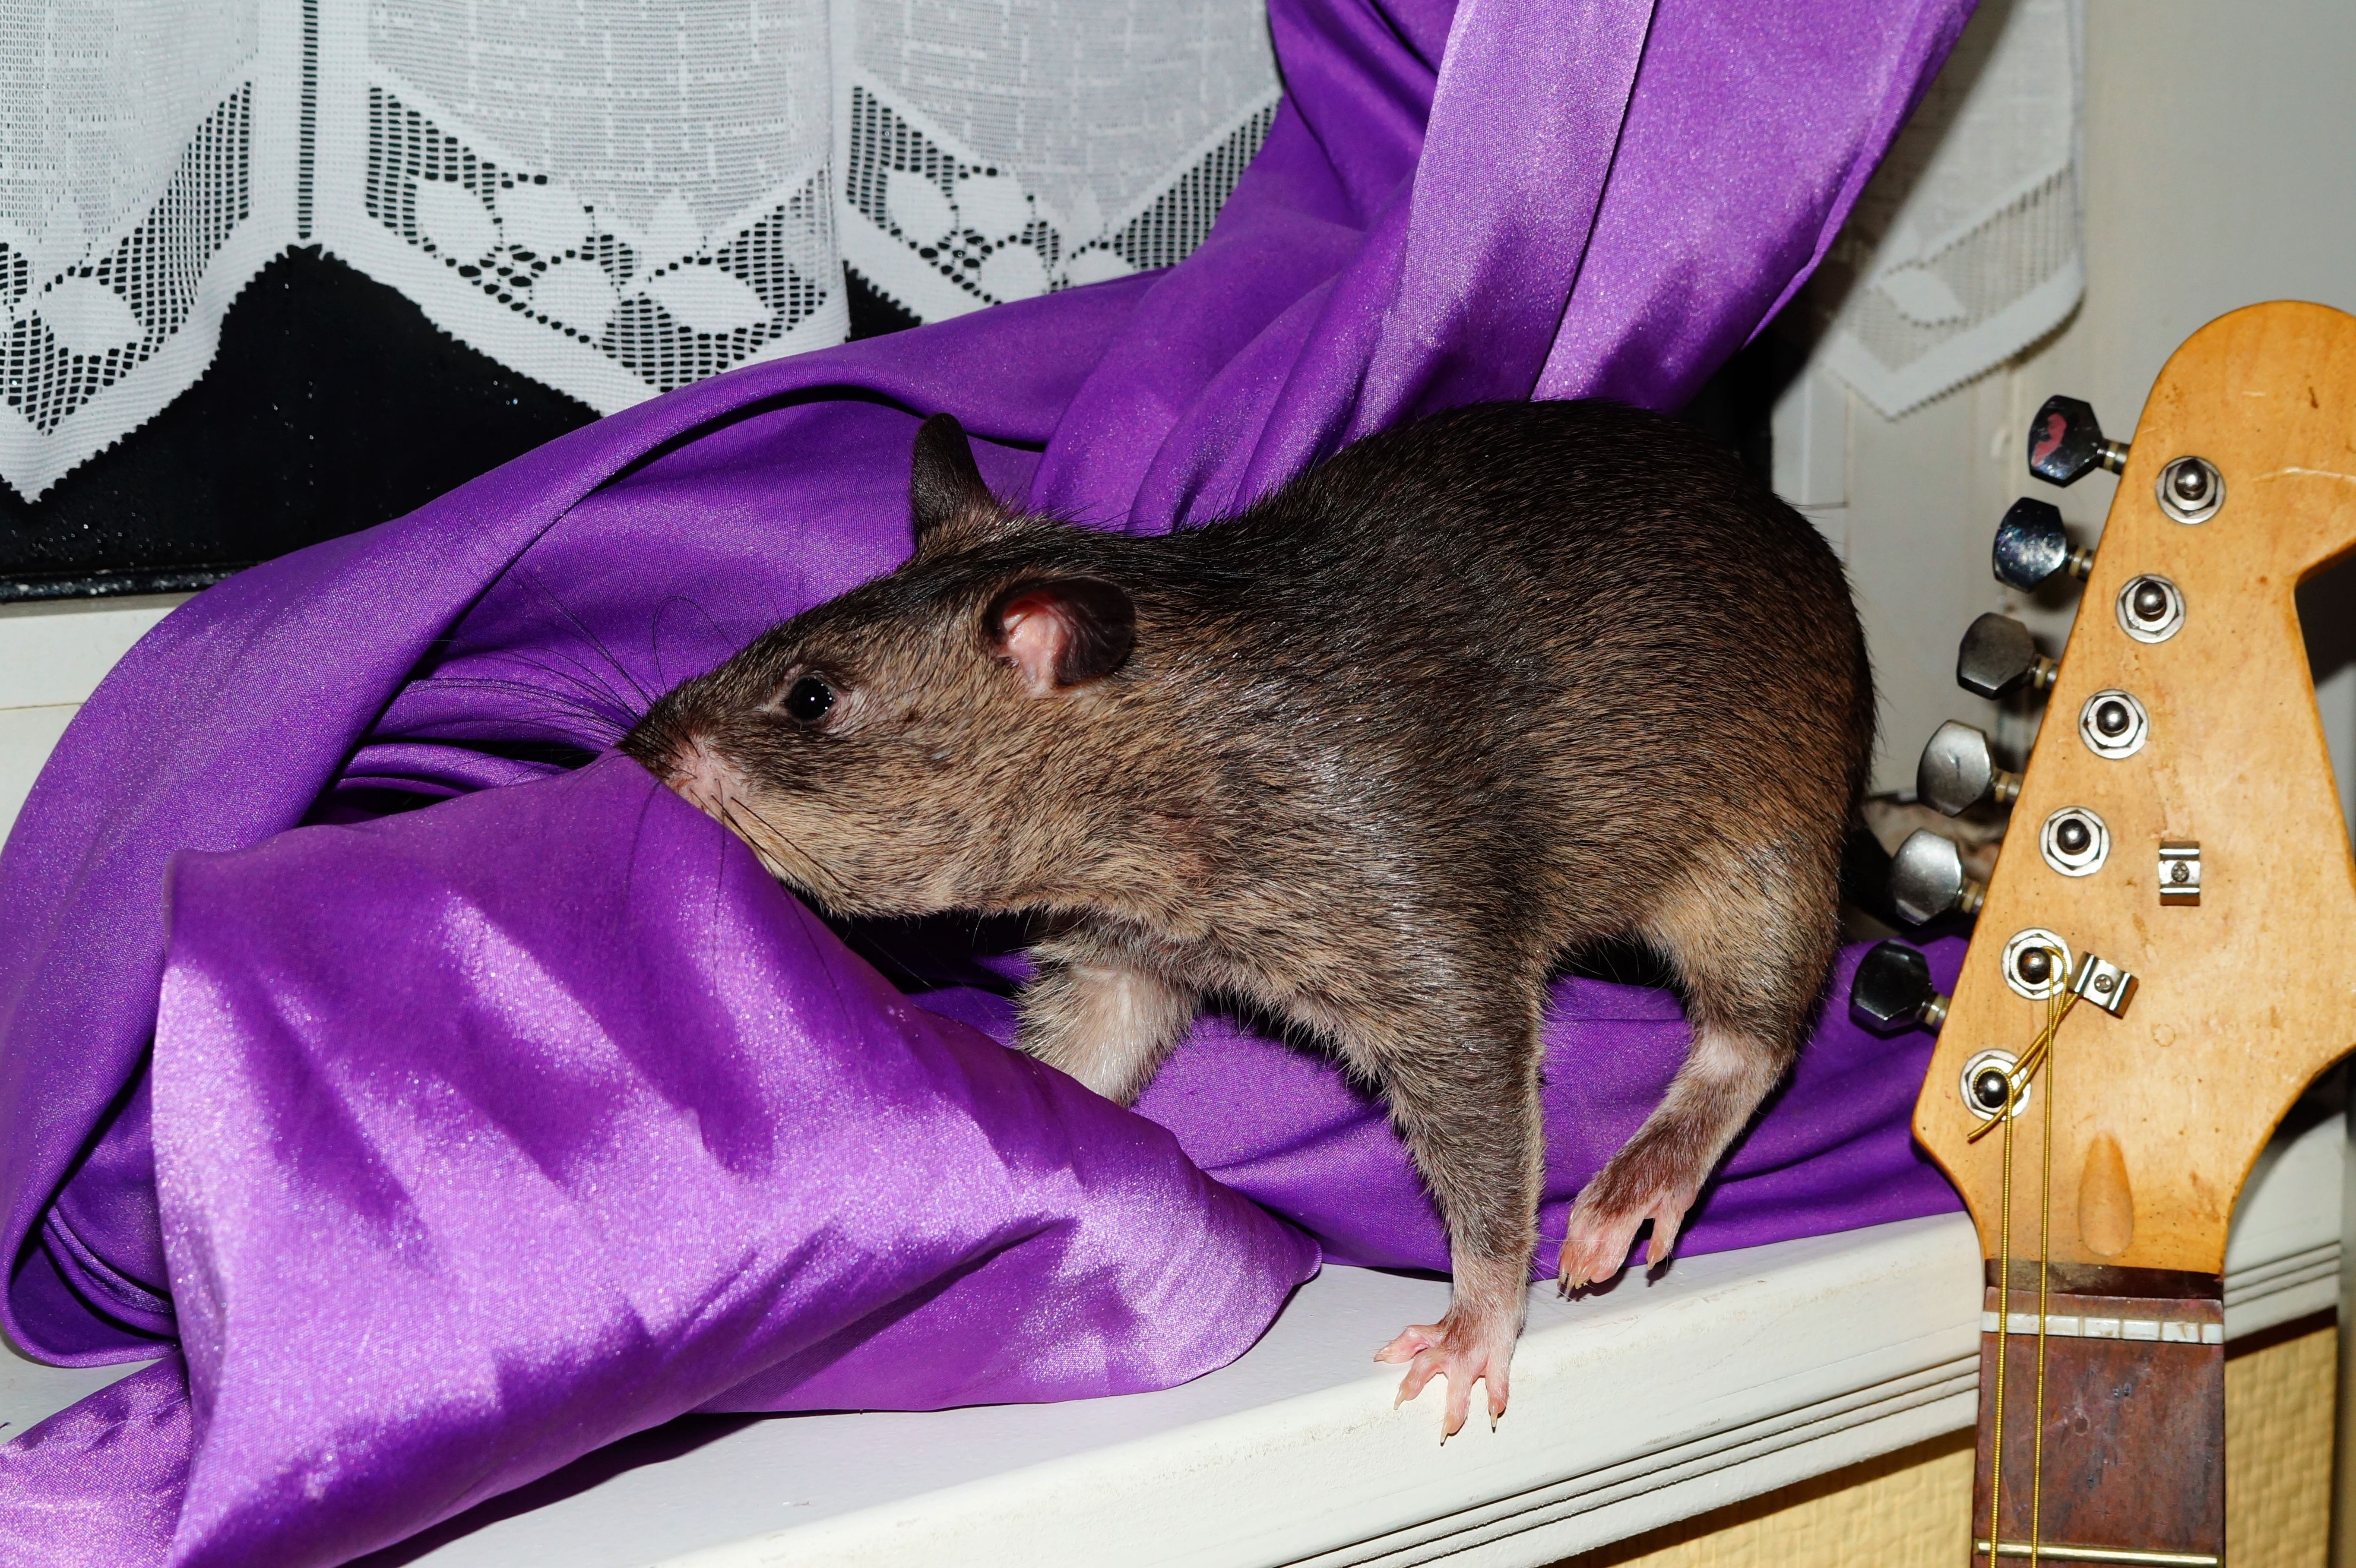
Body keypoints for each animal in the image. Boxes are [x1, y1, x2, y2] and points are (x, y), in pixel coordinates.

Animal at [621, 401, 1873, 1436]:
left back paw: (1647, 1171)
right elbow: (1094, 1038)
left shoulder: (1397, 876)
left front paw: (1478, 1313)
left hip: (1763, 834)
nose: (628, 758)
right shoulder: (1126, 942)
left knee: (1759, 1022)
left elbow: (1478, 1073)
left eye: (811, 695)